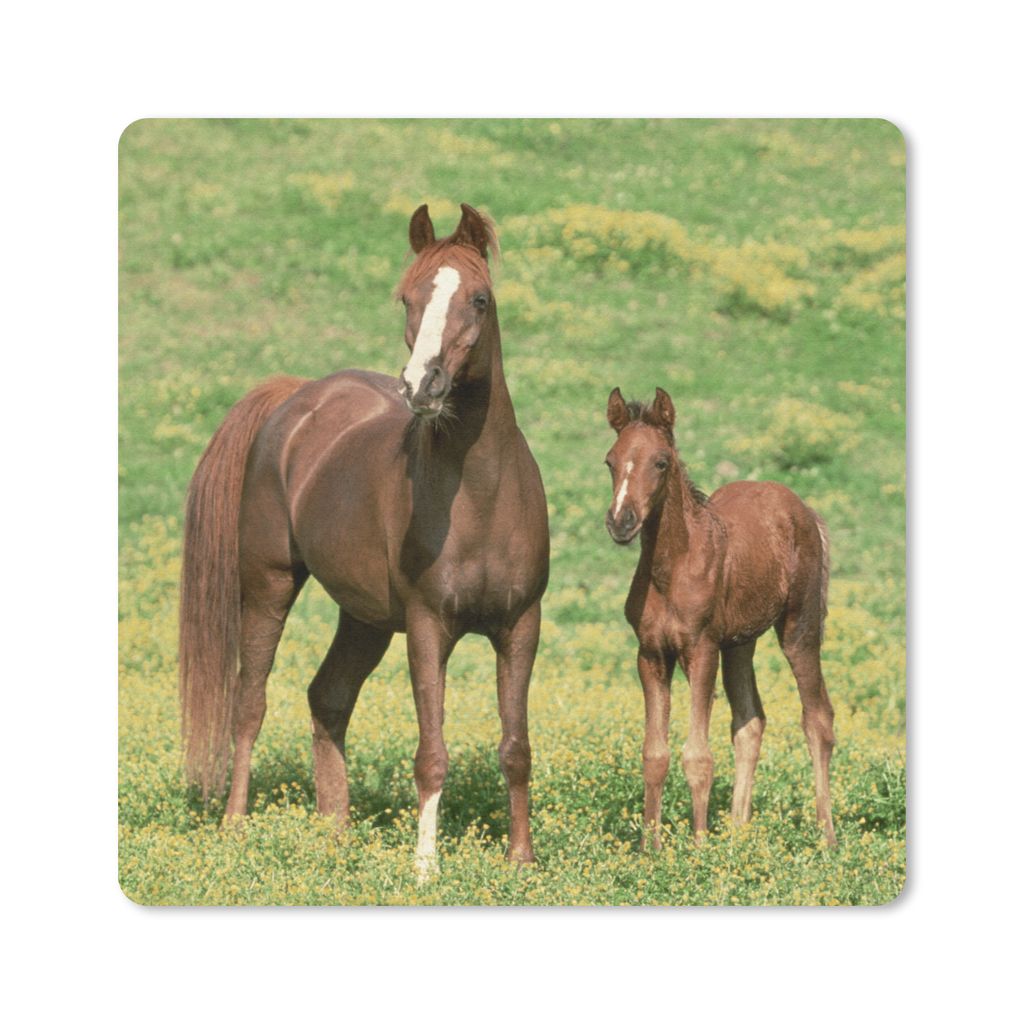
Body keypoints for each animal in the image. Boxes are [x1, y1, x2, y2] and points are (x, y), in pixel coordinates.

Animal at [179, 203, 550, 877]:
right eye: (407, 297)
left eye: (480, 299)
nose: (422, 386)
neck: (481, 498)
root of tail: (297, 396)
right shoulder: (429, 627)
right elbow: (432, 752)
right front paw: (426, 868)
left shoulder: (520, 626)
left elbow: (516, 747)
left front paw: (521, 862)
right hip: (269, 585)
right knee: (250, 704)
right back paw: (235, 827)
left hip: (366, 617)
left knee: (328, 698)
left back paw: (336, 836)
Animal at [604, 386, 836, 848]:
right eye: (610, 461)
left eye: (661, 461)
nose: (621, 522)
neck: (671, 570)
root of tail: (804, 510)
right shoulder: (650, 654)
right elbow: (654, 754)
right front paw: (650, 850)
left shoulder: (701, 650)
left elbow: (697, 756)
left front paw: (697, 849)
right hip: (740, 642)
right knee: (750, 722)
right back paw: (737, 837)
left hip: (798, 627)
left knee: (818, 718)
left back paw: (827, 839)